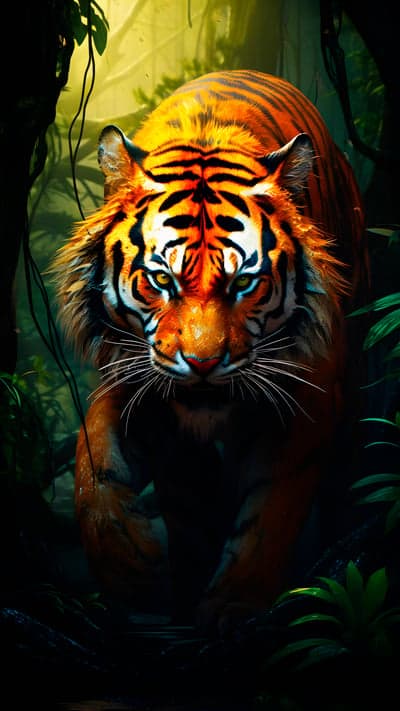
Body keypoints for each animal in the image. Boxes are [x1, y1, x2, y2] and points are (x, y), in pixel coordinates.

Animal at [52, 69, 368, 632]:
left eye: (244, 283)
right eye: (162, 280)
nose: (202, 364)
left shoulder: (307, 395)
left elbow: (271, 511)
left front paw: (233, 607)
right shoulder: (134, 380)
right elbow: (94, 464)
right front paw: (132, 569)